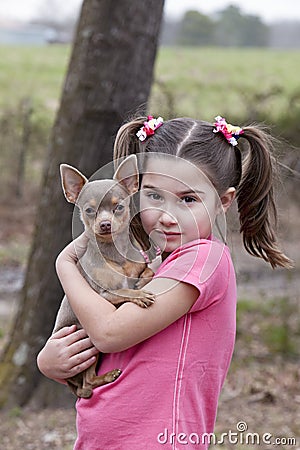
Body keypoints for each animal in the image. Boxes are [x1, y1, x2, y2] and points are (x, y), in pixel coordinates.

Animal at [53, 156, 155, 398]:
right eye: (90, 210)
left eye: (119, 207)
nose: (105, 224)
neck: (114, 254)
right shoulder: (103, 295)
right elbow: (123, 290)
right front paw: (139, 295)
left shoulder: (140, 264)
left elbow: (147, 271)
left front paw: (141, 282)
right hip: (87, 339)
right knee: (88, 384)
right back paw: (107, 377)